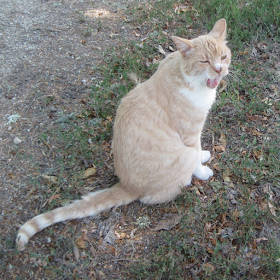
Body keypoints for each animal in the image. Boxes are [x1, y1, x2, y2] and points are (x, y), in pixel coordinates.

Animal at [15, 19, 231, 252]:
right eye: (204, 61)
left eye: (223, 57)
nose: (219, 69)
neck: (190, 80)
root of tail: (127, 185)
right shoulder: (190, 134)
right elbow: (195, 155)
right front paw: (202, 170)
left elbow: (199, 149)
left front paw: (203, 155)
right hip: (177, 162)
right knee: (154, 196)